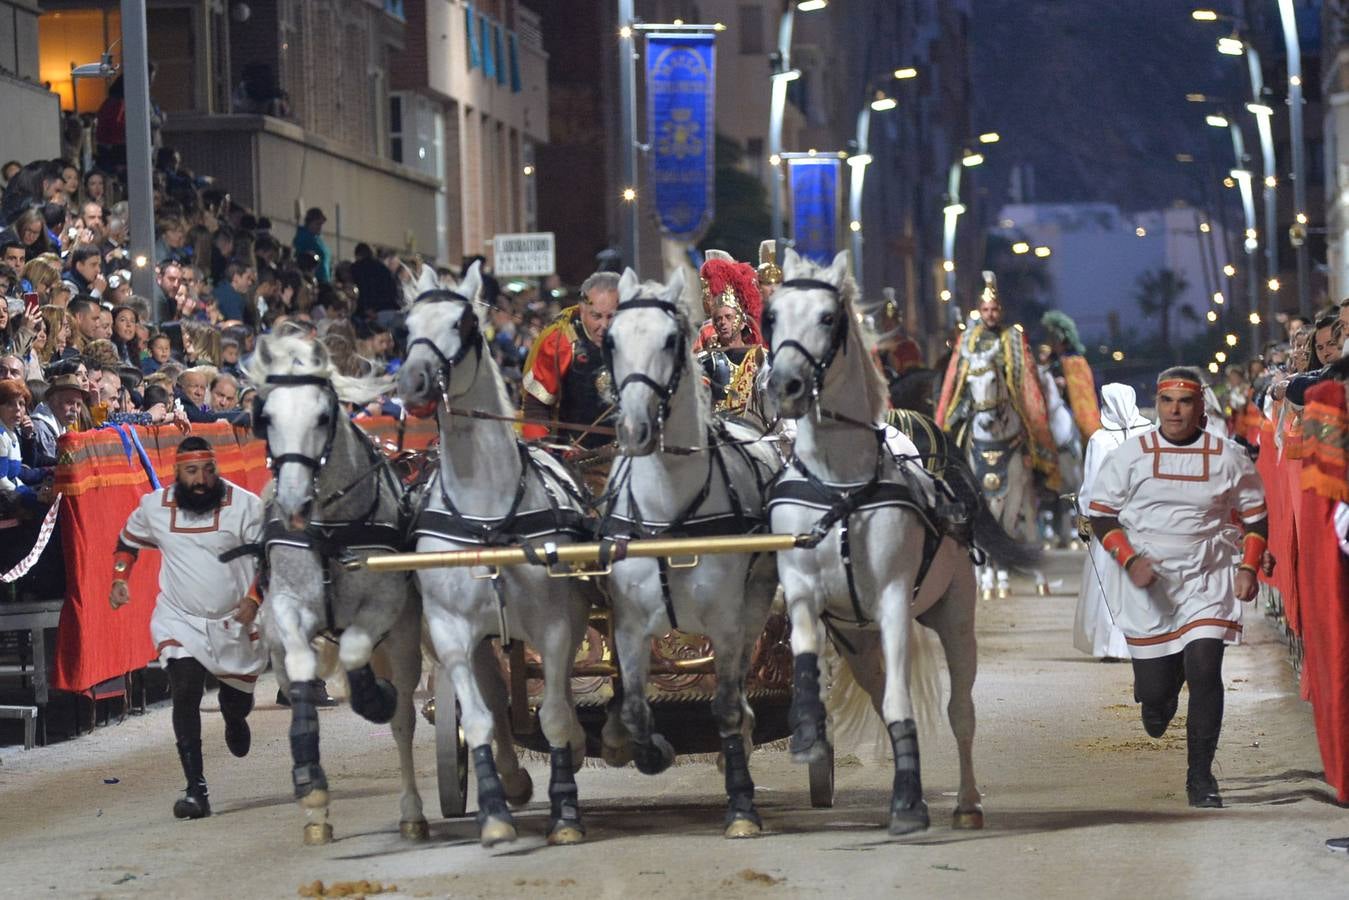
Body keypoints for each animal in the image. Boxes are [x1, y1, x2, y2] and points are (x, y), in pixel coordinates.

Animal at [246, 334, 426, 847]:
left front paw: (373, 697)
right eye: (265, 416)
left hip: (406, 639)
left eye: (323, 416)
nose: (293, 503)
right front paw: (310, 785)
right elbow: (303, 669)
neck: (328, 530)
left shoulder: (385, 606)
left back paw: (412, 812)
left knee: (404, 720)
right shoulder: (285, 611)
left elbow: (354, 654)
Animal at [396, 264, 593, 847]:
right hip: (480, 639)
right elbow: (481, 717)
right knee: (494, 702)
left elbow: (553, 715)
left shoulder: (555, 624)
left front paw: (565, 813)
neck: (486, 516)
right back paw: (510, 779)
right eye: (405, 325)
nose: (413, 383)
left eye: (463, 324)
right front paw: (495, 813)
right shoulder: (450, 630)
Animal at [601, 265, 782, 836]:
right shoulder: (629, 624)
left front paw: (741, 806)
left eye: (669, 340)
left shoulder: (725, 618)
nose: (634, 428)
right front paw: (642, 748)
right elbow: (634, 709)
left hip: (755, 603)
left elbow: (724, 705)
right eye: (611, 340)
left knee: (740, 681)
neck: (670, 511)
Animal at [771, 249, 982, 836]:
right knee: (879, 685)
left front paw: (909, 803)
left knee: (960, 710)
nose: (783, 385)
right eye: (772, 315)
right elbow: (803, 653)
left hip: (955, 615)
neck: (841, 488)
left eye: (827, 318)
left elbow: (900, 700)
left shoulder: (891, 599)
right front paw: (808, 733)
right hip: (857, 640)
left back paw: (966, 802)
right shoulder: (803, 591)